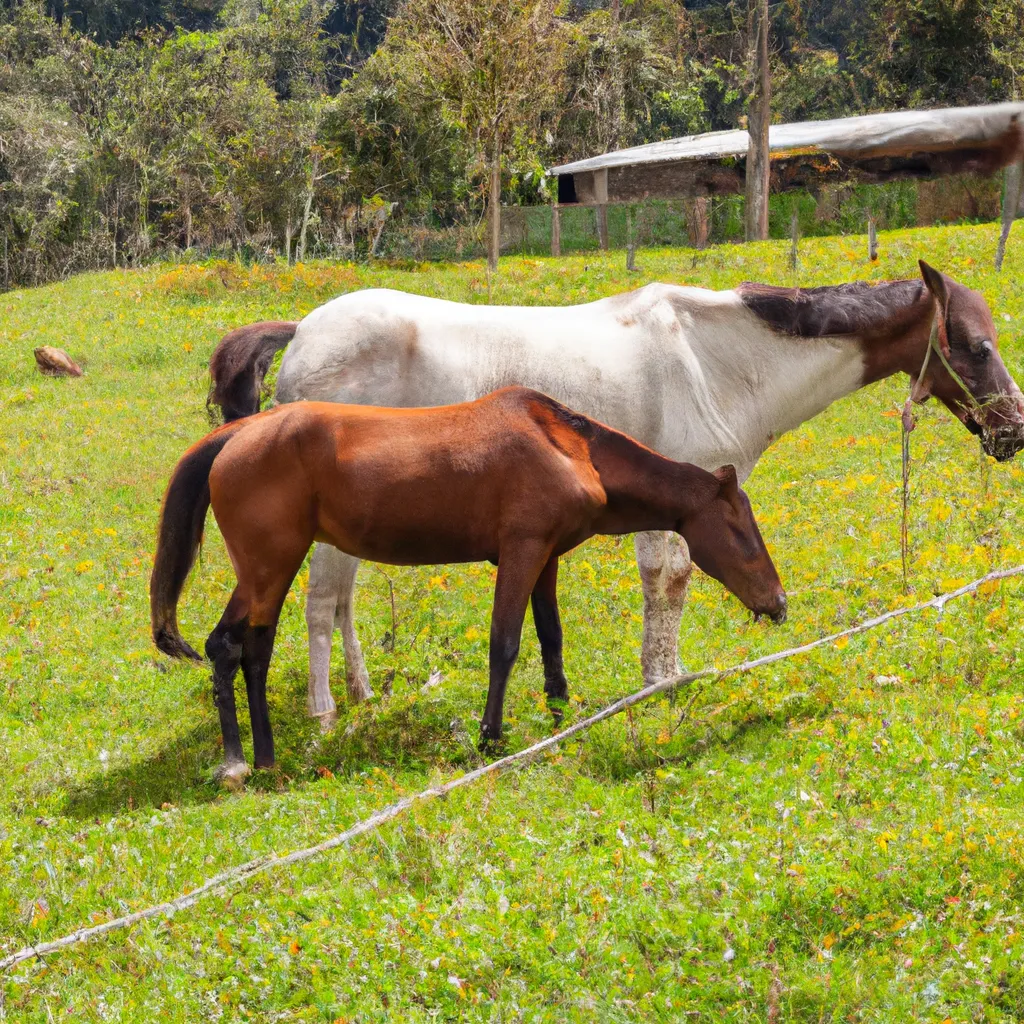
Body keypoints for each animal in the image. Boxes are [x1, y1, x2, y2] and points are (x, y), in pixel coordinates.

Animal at [151, 387, 787, 786]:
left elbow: (551, 640)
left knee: (233, 649)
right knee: (242, 648)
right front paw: (491, 737)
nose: (778, 603)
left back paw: (249, 758)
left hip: (262, 573)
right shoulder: (521, 552)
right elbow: (505, 645)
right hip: (270, 567)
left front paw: (558, 713)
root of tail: (237, 436)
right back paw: (251, 759)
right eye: (741, 531)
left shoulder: (545, 559)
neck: (567, 445)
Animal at [207, 261, 1024, 729]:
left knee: (340, 601)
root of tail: (302, 331)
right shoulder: (686, 499)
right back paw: (324, 715)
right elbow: (670, 581)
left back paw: (361, 694)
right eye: (979, 346)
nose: (1013, 432)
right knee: (319, 603)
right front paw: (660, 683)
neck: (719, 357)